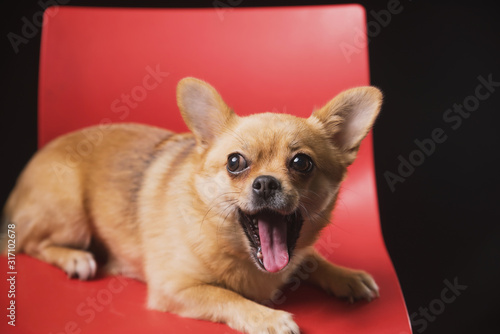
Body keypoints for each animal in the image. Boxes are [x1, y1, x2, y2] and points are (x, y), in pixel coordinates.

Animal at [1, 78, 382, 334]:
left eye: (302, 163)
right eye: (235, 162)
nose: (266, 182)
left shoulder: (296, 254)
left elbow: (310, 259)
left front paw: (345, 276)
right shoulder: (176, 288)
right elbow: (225, 296)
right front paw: (267, 317)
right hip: (71, 214)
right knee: (30, 243)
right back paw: (75, 258)